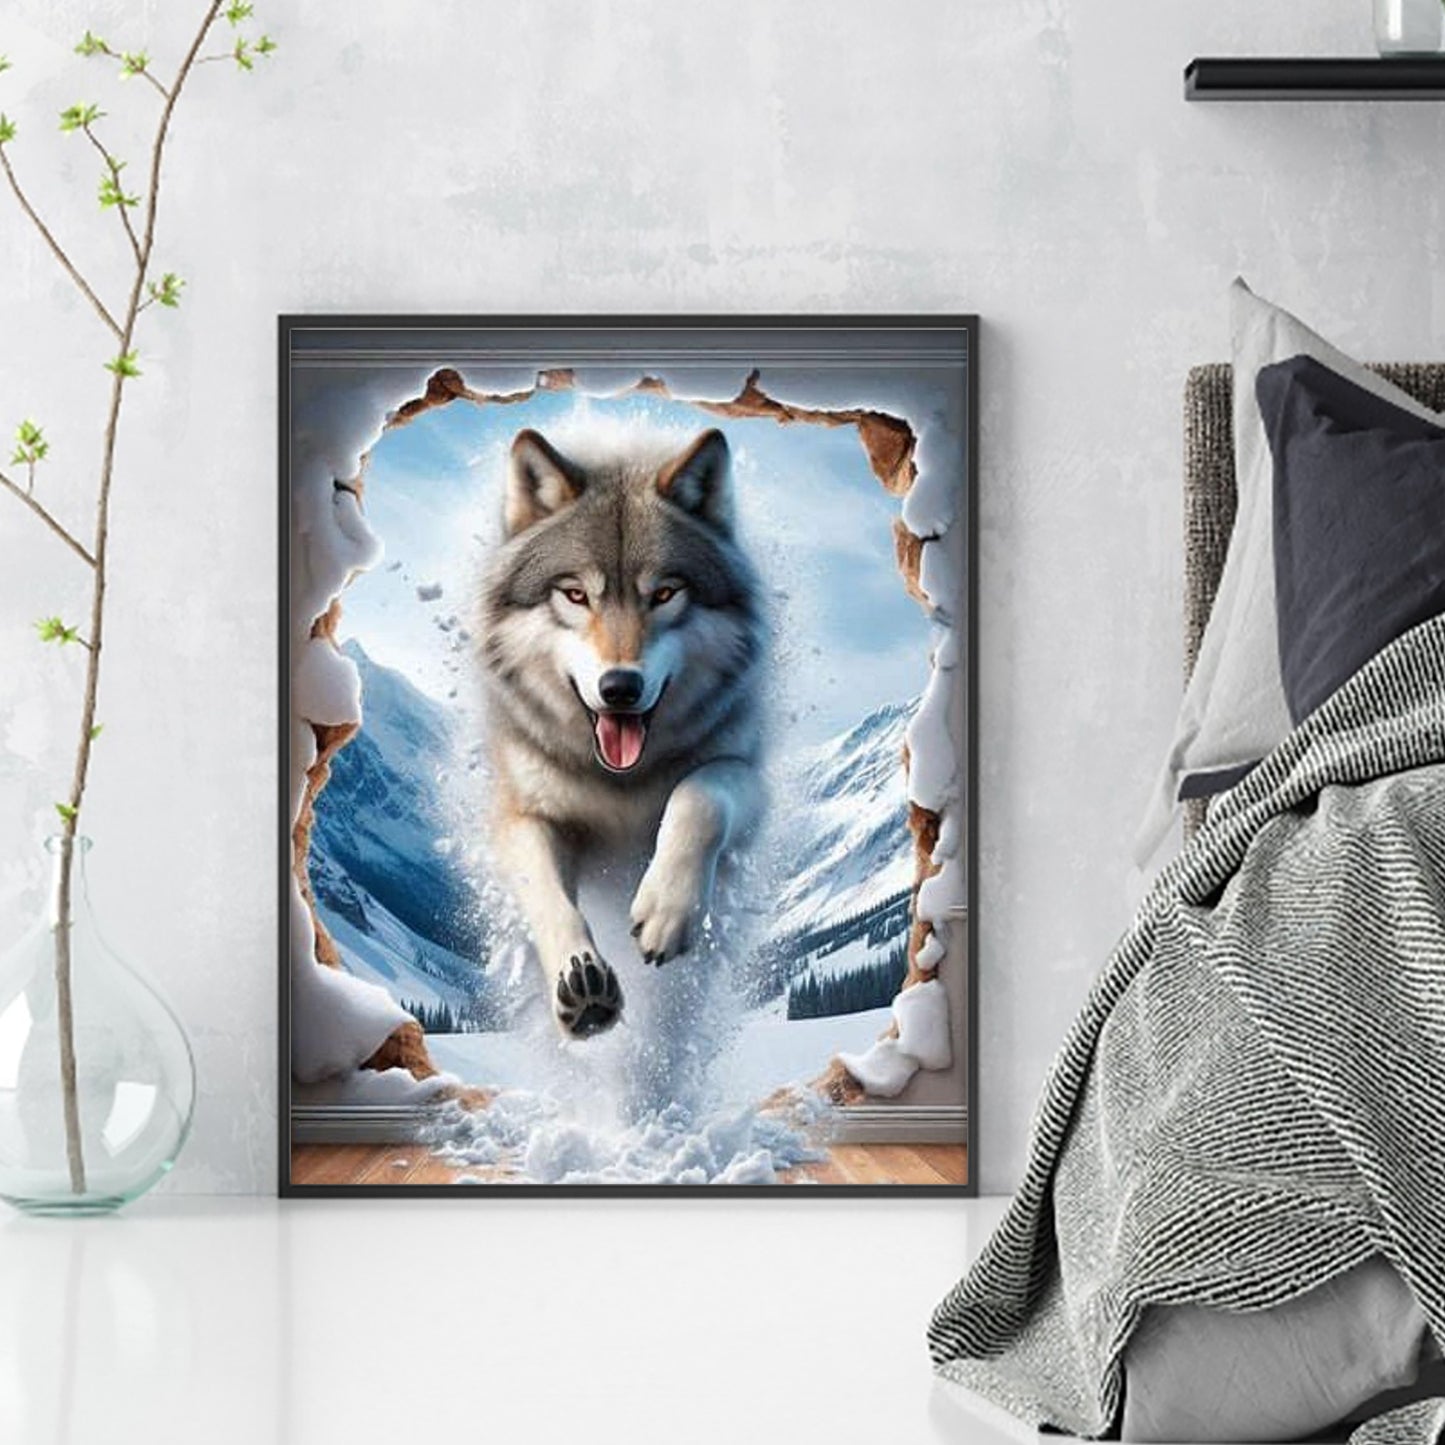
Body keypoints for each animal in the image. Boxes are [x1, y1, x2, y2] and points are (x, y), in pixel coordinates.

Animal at [477, 425, 767, 1039]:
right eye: (575, 595)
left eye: (664, 594)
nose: (620, 688)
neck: (619, 783)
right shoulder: (523, 811)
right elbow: (546, 893)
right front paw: (582, 982)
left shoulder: (751, 774)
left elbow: (700, 796)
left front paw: (667, 909)